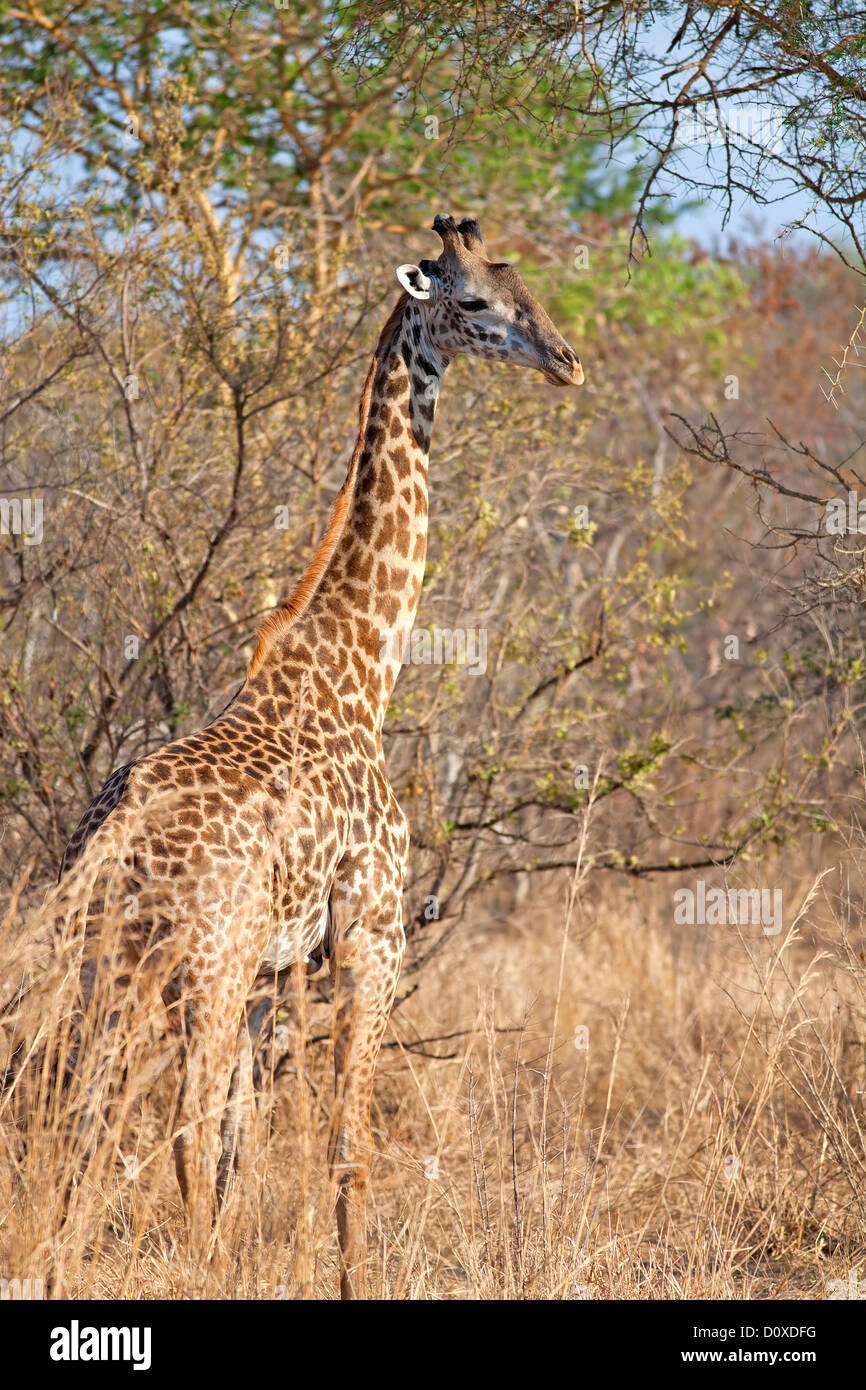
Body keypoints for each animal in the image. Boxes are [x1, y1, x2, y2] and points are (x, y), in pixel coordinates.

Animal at [48, 213, 583, 1298]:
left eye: (528, 288)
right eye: (474, 301)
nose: (566, 360)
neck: (360, 666)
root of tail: (109, 846)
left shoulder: (272, 969)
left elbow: (243, 1149)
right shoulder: (371, 929)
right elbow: (343, 1142)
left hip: (115, 974)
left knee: (95, 1124)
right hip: (198, 972)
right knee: (173, 1126)